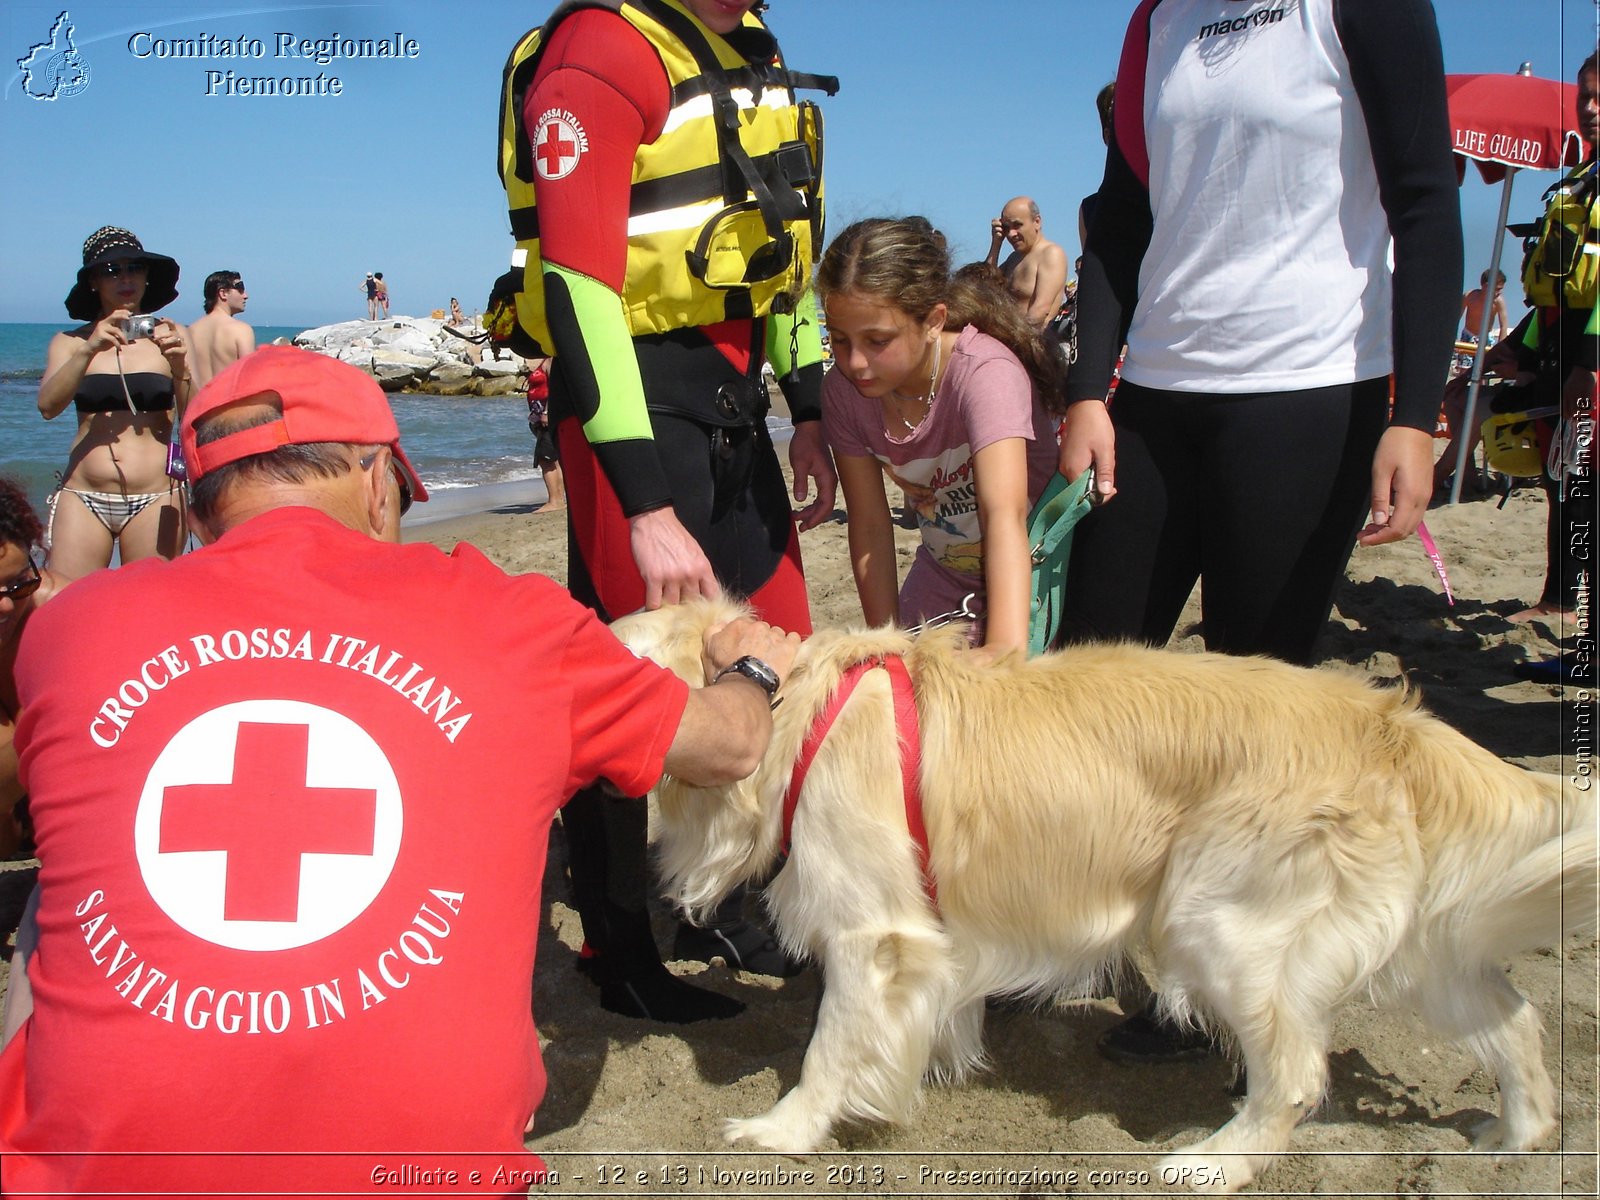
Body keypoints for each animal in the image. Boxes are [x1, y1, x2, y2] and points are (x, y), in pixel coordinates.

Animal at [608, 601, 1587, 1196]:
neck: (797, 716)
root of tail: (1395, 723)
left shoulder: (872, 936)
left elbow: (826, 1051)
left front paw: (785, 1130)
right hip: (1423, 944)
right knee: (1515, 1019)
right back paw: (1514, 1140)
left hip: (1216, 927)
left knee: (1296, 1078)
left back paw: (1213, 1164)